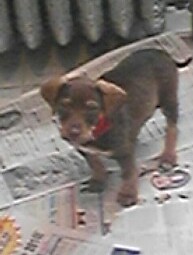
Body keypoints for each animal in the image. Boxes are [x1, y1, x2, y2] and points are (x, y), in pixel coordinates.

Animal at [40, 48, 178, 207]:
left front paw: (128, 194)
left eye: (92, 108)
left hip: (169, 97)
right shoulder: (85, 149)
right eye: (64, 106)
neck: (97, 129)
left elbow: (128, 173)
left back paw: (168, 156)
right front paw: (99, 180)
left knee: (172, 127)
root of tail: (159, 51)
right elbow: (94, 163)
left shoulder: (124, 152)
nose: (73, 133)